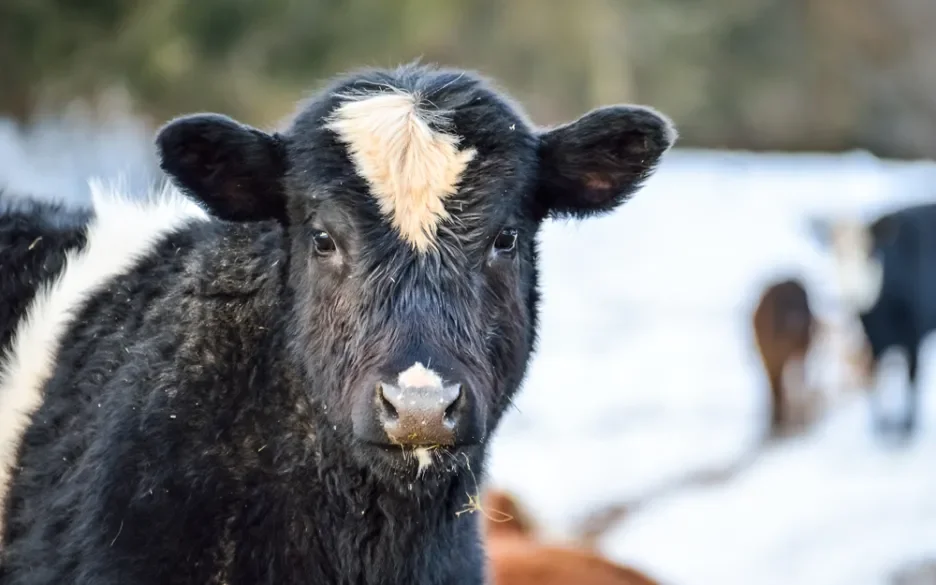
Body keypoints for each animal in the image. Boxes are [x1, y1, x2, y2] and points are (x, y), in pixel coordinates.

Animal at [808, 203, 936, 440]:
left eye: (869, 252)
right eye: (835, 252)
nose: (846, 296)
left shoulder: (914, 335)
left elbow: (912, 380)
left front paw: (907, 429)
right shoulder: (871, 339)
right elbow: (874, 381)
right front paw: (879, 427)